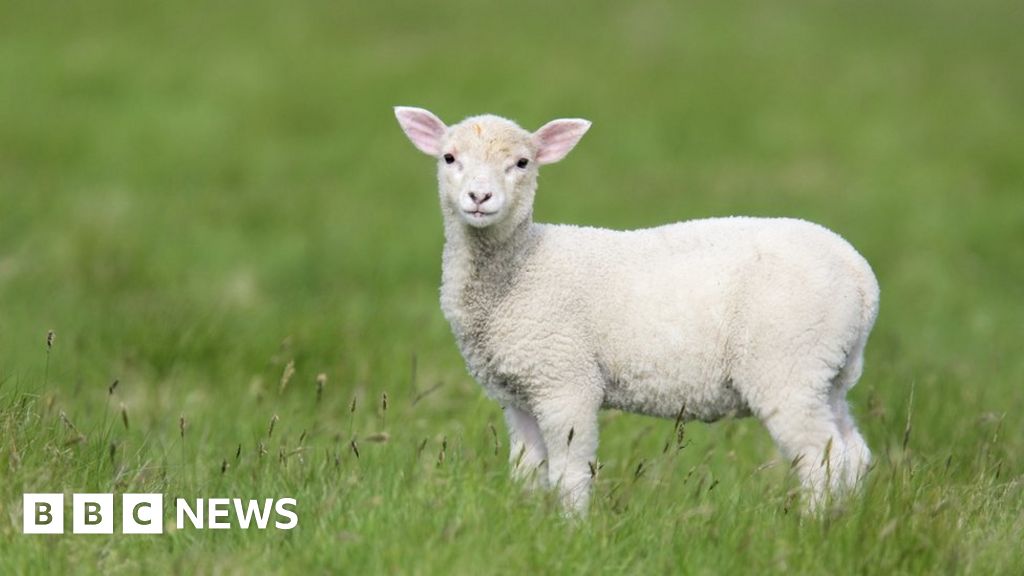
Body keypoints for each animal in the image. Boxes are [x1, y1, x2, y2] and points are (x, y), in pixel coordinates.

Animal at [391, 104, 880, 510]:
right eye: (449, 158)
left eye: (523, 163)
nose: (479, 198)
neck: (522, 265)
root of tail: (860, 275)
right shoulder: (520, 393)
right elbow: (527, 473)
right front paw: (527, 522)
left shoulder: (565, 380)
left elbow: (569, 475)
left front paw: (572, 533)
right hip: (829, 371)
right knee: (854, 454)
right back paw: (845, 523)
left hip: (788, 363)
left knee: (821, 459)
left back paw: (811, 528)